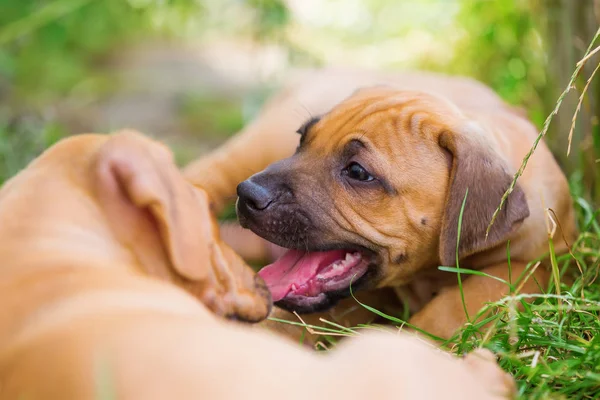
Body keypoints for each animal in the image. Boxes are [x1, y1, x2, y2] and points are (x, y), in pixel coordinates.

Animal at [185, 69, 580, 340]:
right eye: (302, 139)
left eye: (358, 172)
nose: (248, 193)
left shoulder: (550, 258)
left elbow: (480, 291)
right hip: (255, 145)